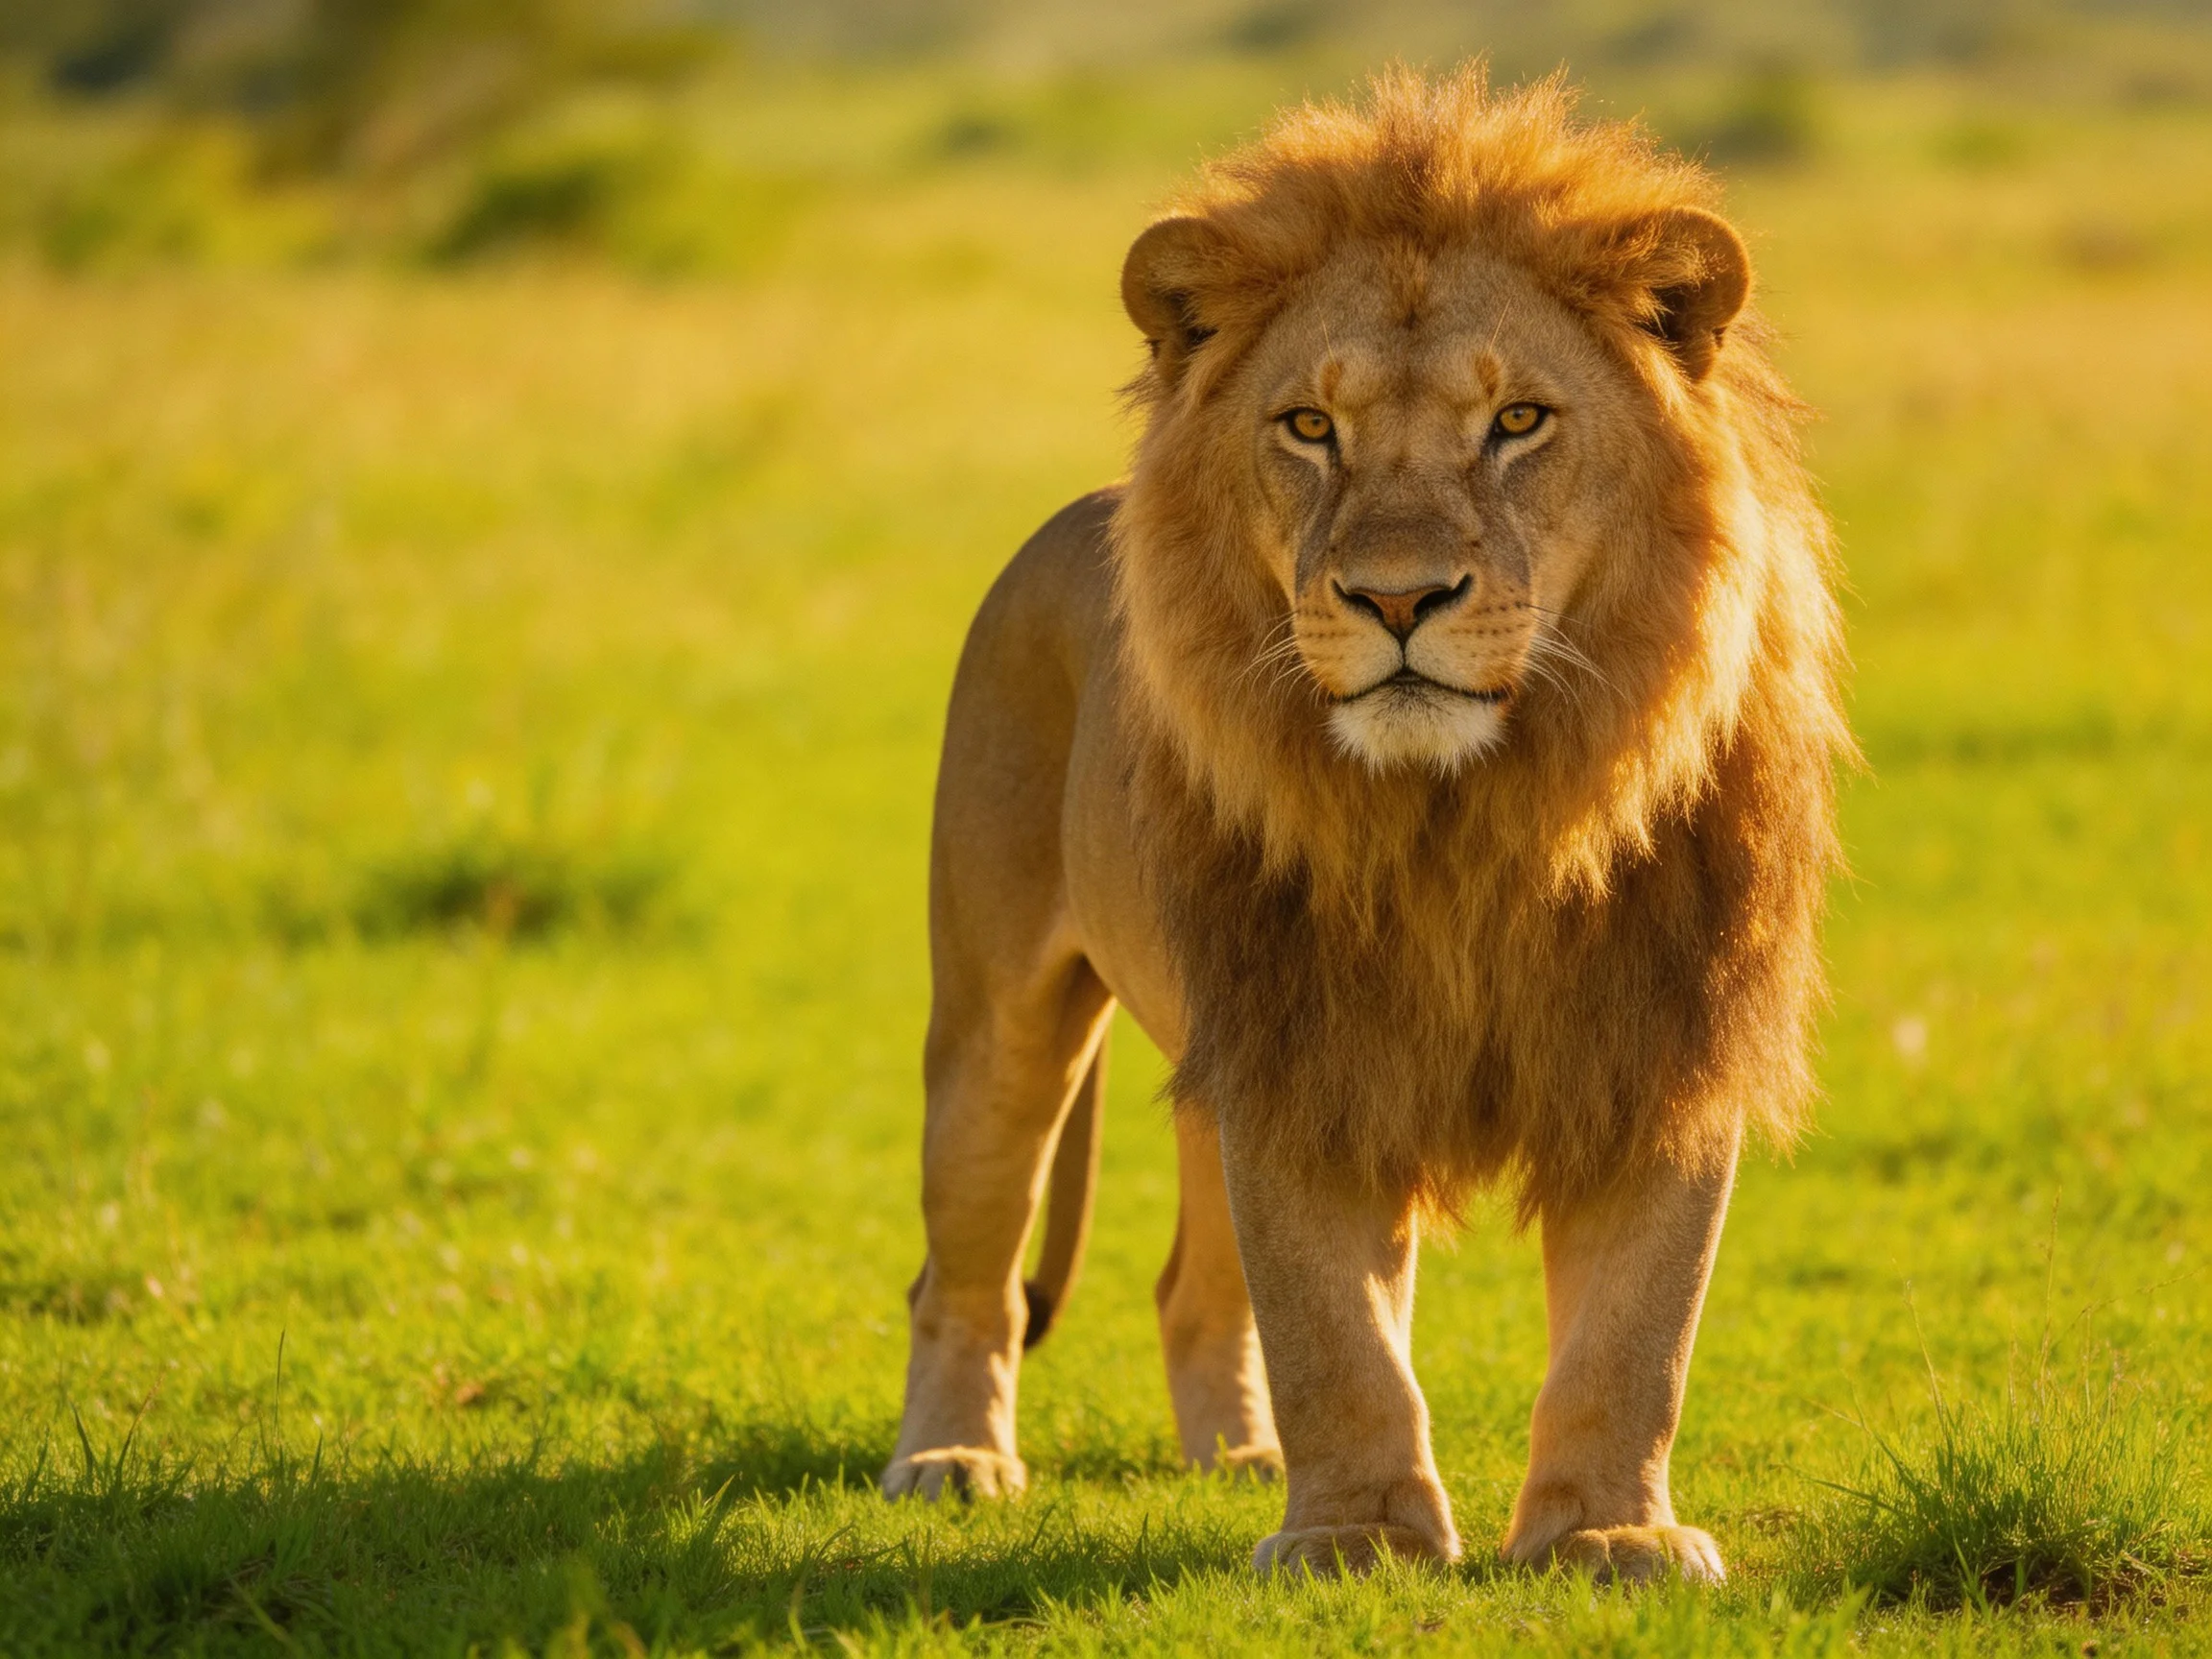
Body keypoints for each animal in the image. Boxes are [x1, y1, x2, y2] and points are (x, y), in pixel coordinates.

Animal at [881, 67, 1849, 1583]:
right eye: (1308, 427)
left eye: (1518, 422)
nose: (1399, 598)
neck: (1477, 815)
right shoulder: (1303, 1041)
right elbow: (1332, 1330)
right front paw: (1357, 1535)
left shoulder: (1663, 1034)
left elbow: (1638, 1331)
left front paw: (1607, 1532)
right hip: (1000, 1019)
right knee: (966, 1266)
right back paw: (952, 1460)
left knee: (1192, 1283)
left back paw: (1238, 1453)